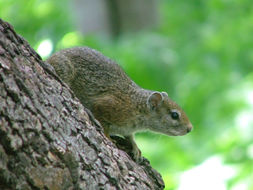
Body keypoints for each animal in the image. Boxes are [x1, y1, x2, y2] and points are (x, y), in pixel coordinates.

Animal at [46, 46, 193, 161]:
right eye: (174, 115)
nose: (190, 128)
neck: (137, 107)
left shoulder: (127, 129)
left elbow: (130, 137)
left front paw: (135, 147)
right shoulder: (107, 106)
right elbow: (103, 124)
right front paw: (109, 139)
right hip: (64, 69)